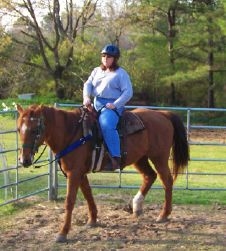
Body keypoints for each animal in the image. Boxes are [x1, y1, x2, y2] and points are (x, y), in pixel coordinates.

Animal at [16, 103, 189, 241]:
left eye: (35, 130)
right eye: (18, 129)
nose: (24, 160)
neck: (71, 133)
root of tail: (163, 114)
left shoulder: (74, 173)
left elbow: (69, 201)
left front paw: (62, 233)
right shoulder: (80, 173)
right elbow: (88, 194)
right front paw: (92, 220)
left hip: (159, 157)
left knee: (166, 180)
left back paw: (163, 215)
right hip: (140, 159)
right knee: (149, 176)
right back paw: (137, 206)